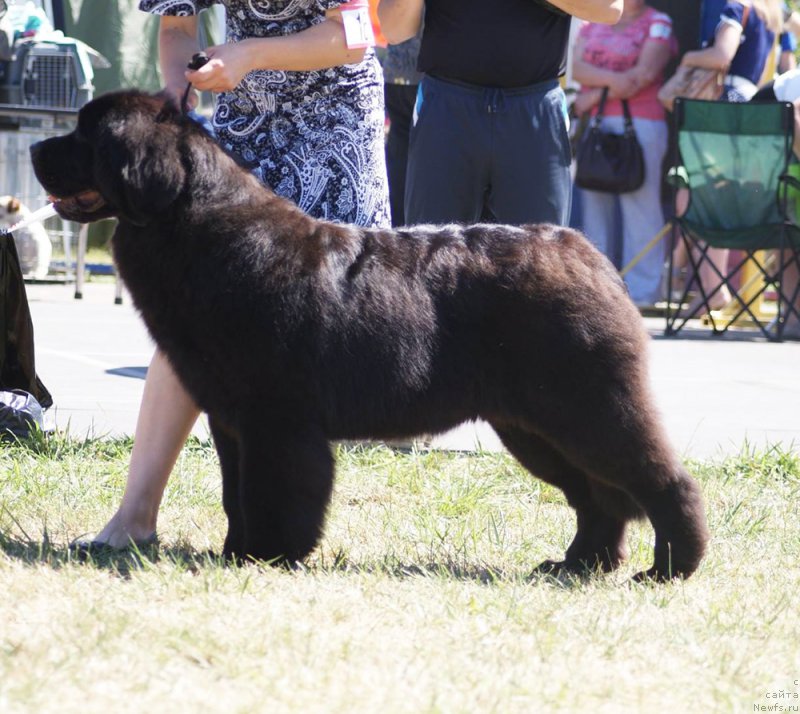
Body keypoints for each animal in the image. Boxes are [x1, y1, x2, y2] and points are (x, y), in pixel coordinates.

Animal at [28, 90, 708, 580]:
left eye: (86, 136)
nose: (34, 146)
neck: (198, 230)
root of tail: (588, 253)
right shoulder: (231, 420)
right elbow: (235, 493)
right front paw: (235, 553)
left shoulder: (277, 420)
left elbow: (274, 492)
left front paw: (270, 557)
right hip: (536, 428)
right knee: (600, 497)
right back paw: (579, 564)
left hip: (588, 408)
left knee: (659, 481)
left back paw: (671, 569)